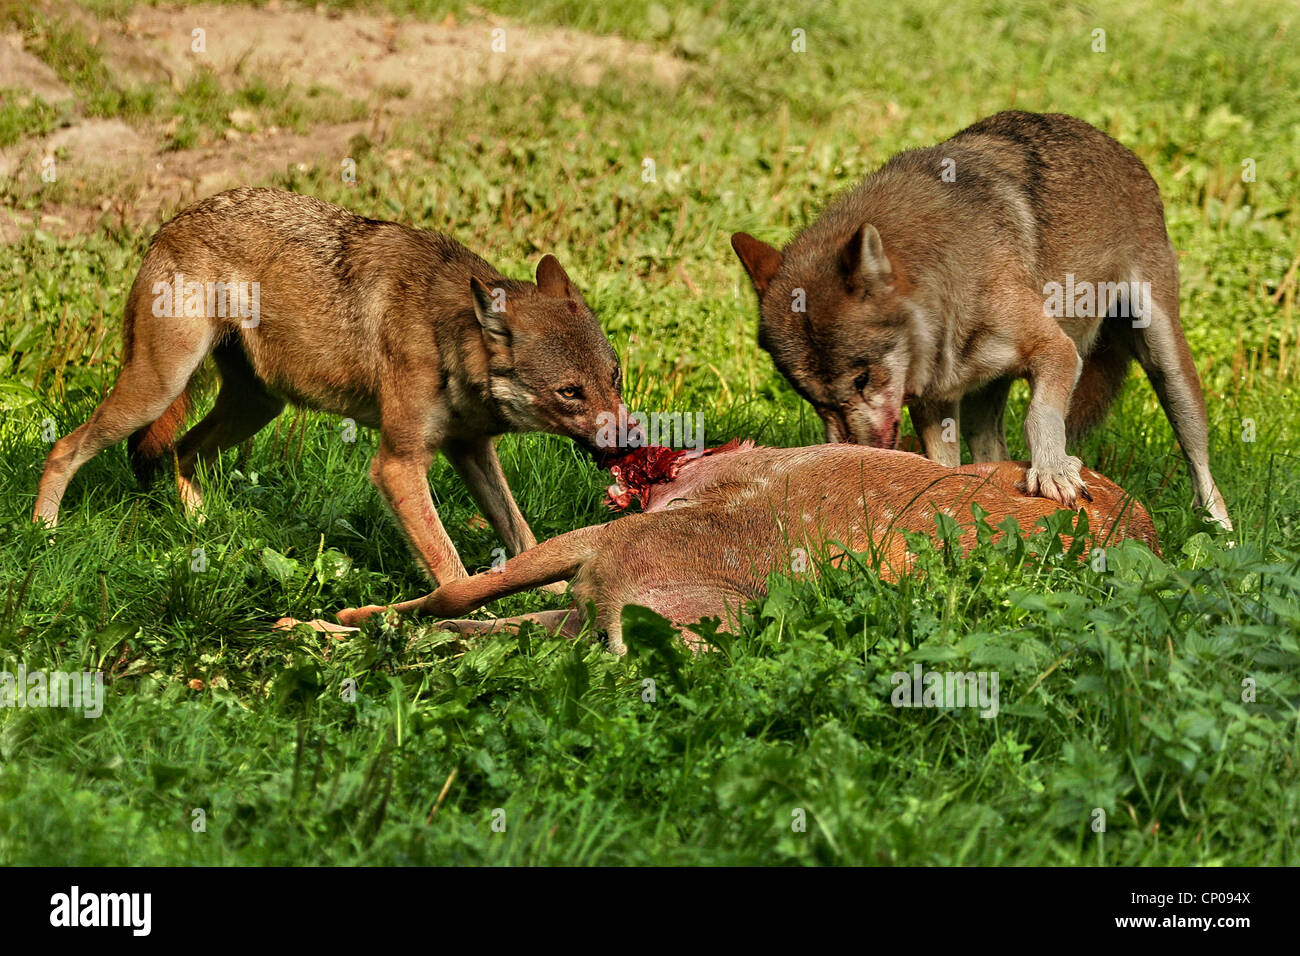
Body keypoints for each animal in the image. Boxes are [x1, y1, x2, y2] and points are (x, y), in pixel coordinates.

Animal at [33, 187, 632, 585]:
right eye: (570, 393)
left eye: (614, 377)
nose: (633, 440)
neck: (445, 335)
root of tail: (169, 223)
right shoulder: (398, 465)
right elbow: (448, 563)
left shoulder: (471, 449)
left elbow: (524, 537)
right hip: (158, 388)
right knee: (64, 447)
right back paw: (44, 534)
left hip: (258, 407)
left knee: (182, 451)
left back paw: (203, 533)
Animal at [731, 111, 1231, 531]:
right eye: (817, 402)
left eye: (863, 379)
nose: (856, 455)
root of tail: (1116, 145)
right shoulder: (934, 403)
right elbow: (940, 467)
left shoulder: (1057, 350)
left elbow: (1039, 417)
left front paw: (1052, 470)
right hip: (981, 404)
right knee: (993, 452)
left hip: (1169, 367)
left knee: (1202, 463)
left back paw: (1219, 535)